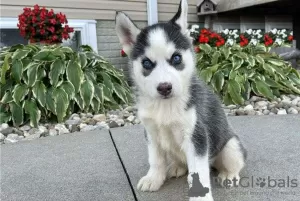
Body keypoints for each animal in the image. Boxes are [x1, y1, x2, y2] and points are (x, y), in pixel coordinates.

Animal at [115, 0, 246, 200]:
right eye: (146, 63)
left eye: (176, 58)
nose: (164, 87)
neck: (165, 106)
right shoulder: (151, 133)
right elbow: (156, 160)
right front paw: (154, 178)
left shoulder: (196, 137)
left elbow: (198, 172)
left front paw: (200, 197)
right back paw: (177, 167)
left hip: (231, 147)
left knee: (234, 162)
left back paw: (229, 175)